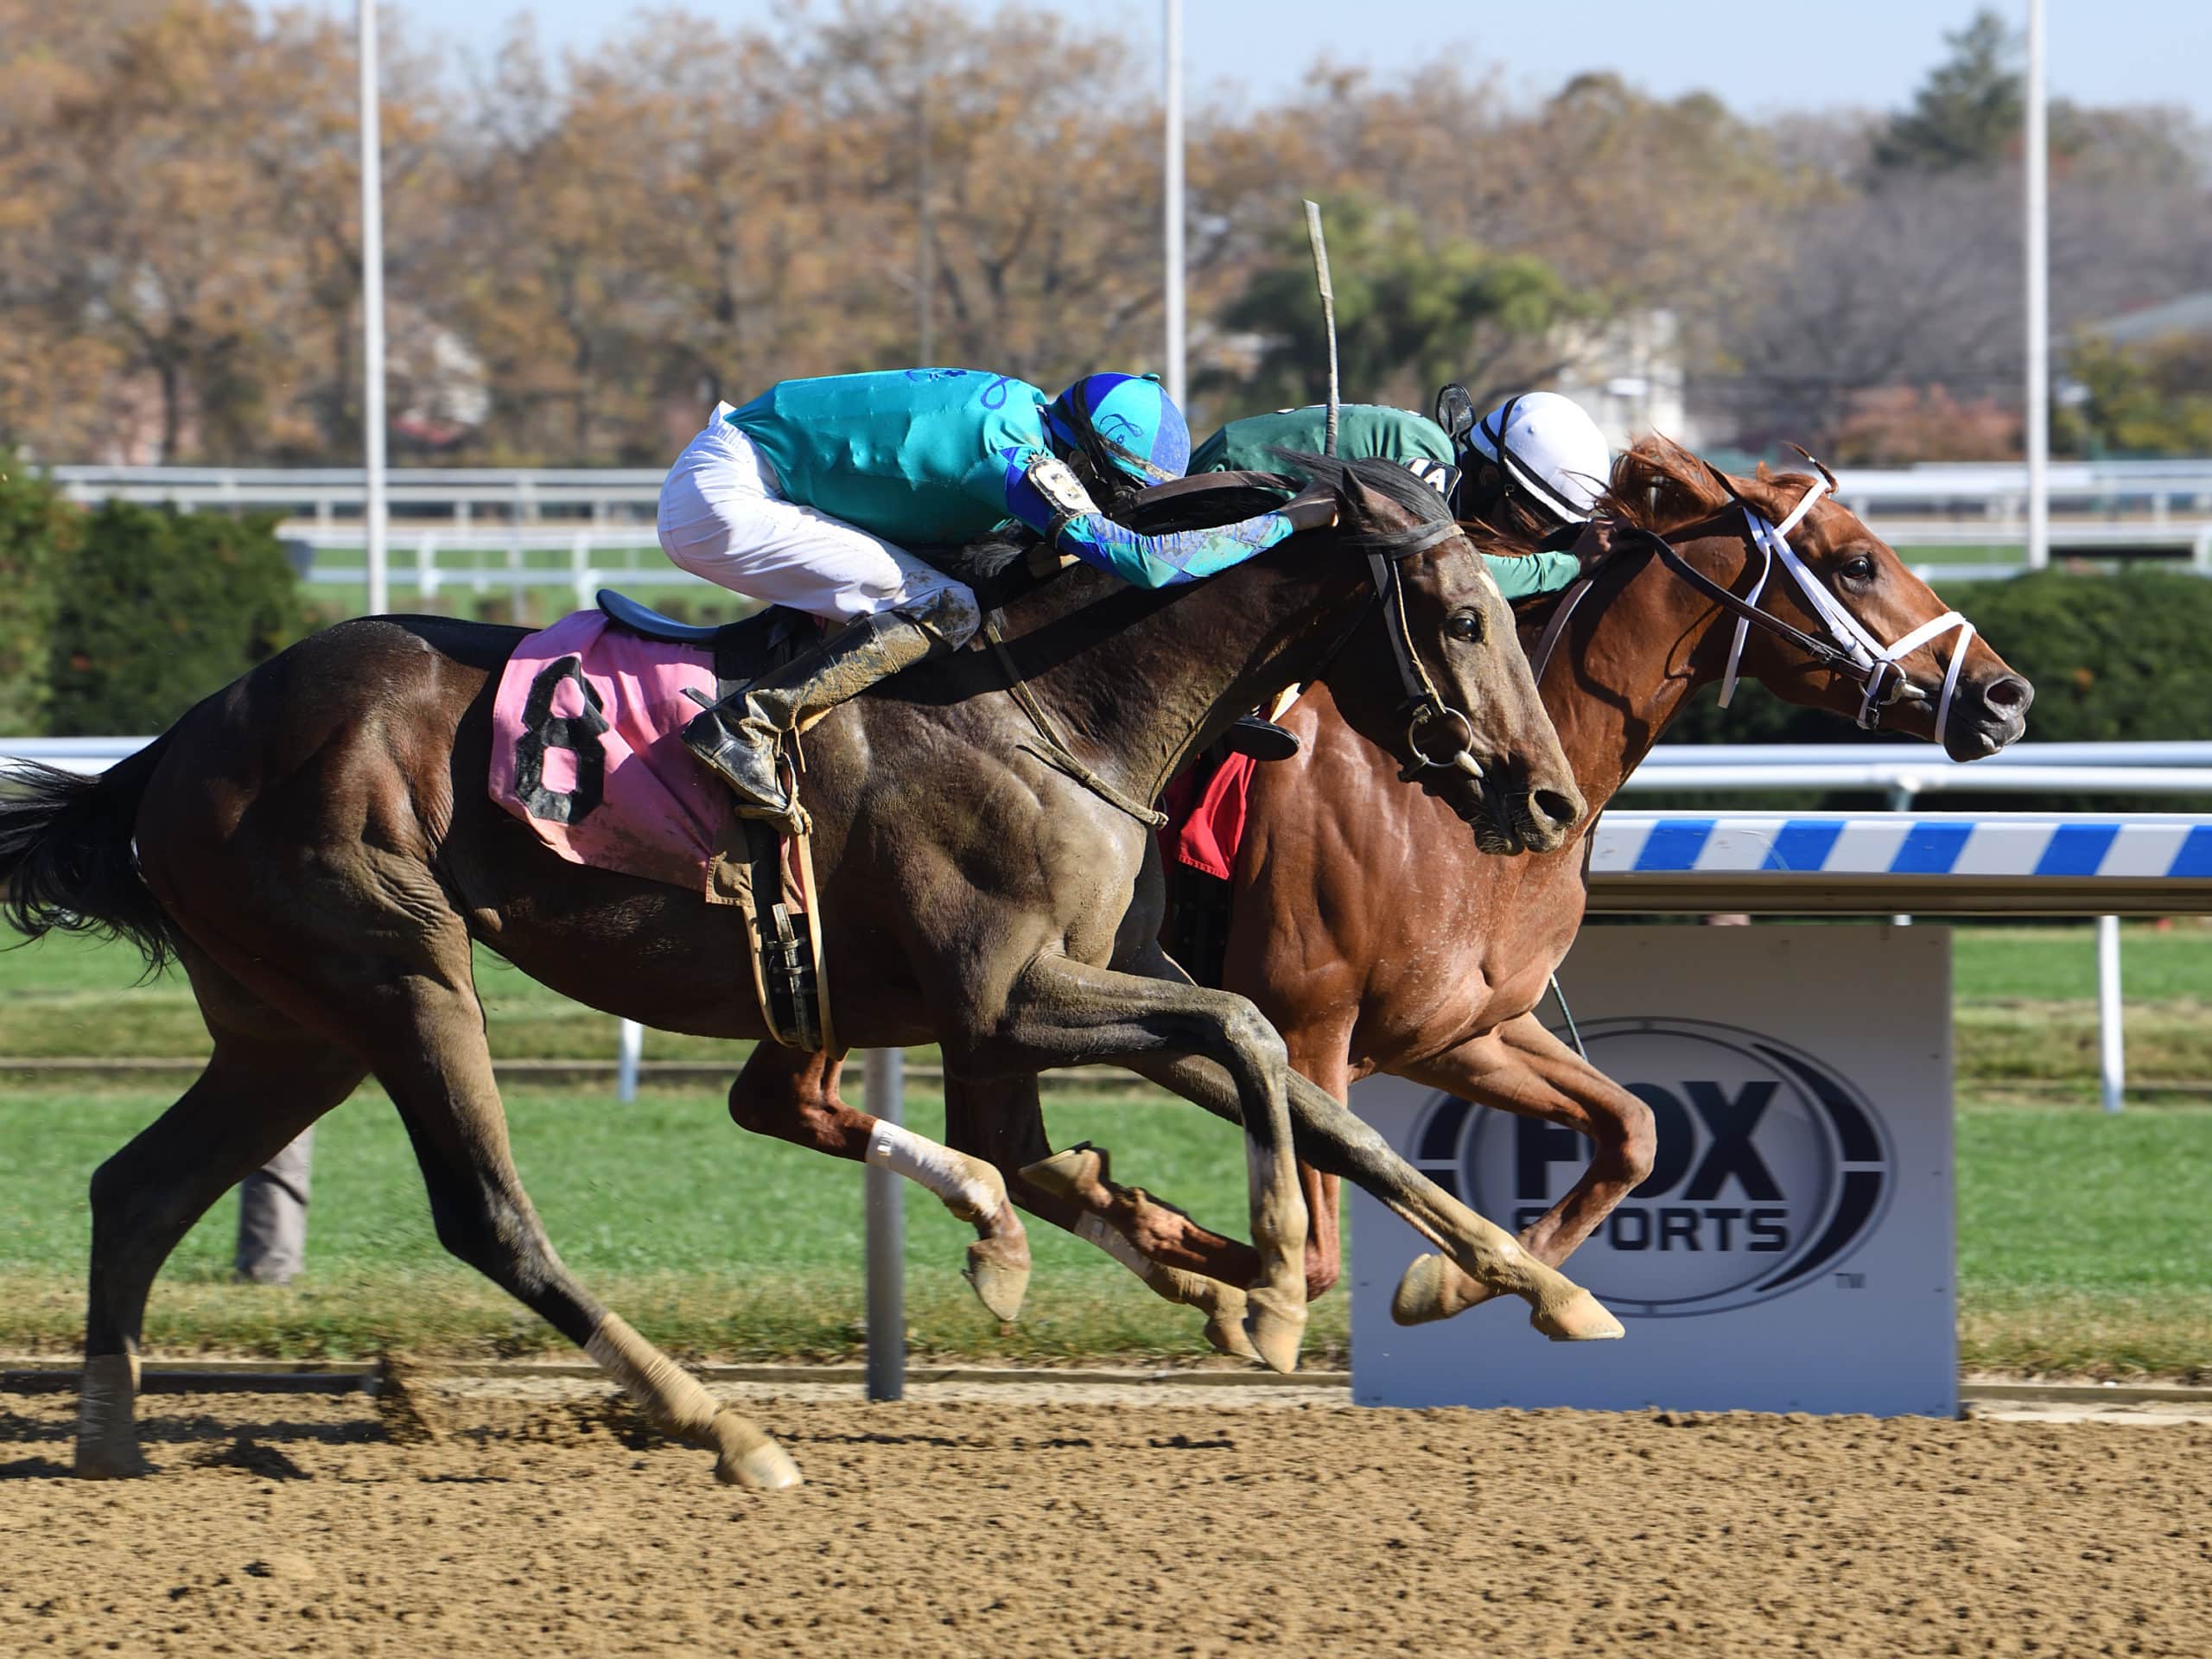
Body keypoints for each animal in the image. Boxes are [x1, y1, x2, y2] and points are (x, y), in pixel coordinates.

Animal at [9, 457, 1618, 1495]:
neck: (1053, 700)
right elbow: (1240, 1037)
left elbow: (1300, 1094)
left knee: (136, 1190)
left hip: (290, 1024)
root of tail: (176, 744)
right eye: (1463, 617)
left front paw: (1531, 1284)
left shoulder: (1070, 985)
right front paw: (1272, 1286)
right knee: (487, 1219)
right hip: (401, 972)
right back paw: (725, 1431)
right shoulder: (1007, 994)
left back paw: (110, 1439)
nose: (1546, 801)